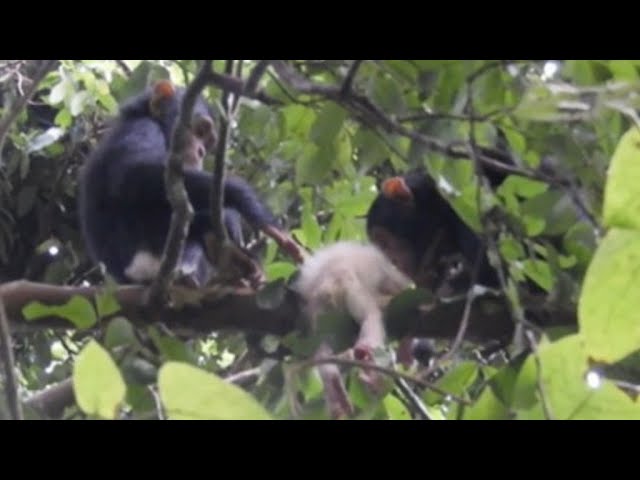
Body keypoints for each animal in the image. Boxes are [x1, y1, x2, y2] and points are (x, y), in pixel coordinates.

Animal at [78, 80, 303, 288]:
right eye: (200, 130)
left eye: (208, 143)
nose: (201, 151)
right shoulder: (142, 130)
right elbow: (134, 174)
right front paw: (254, 209)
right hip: (149, 257)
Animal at [292, 241, 414, 418]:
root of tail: (327, 286)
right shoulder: (390, 274)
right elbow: (400, 290)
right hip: (349, 286)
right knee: (371, 316)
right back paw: (365, 355)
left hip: (321, 313)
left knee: (322, 352)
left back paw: (335, 389)